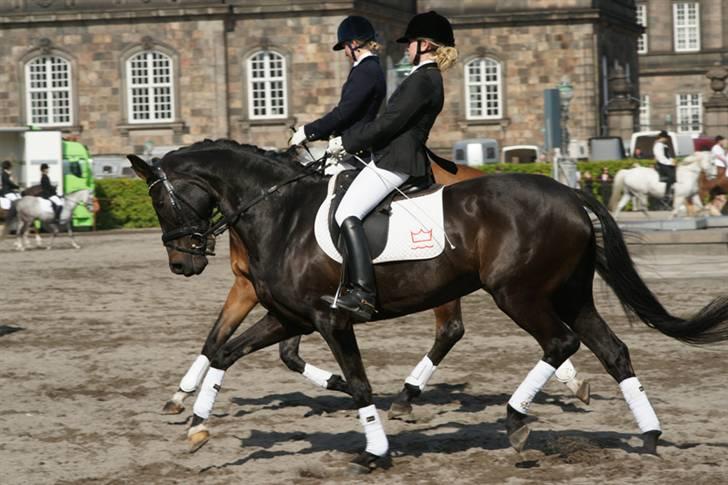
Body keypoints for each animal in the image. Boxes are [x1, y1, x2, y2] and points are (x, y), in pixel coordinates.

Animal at [162, 159, 588, 420]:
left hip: (482, 287)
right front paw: (180, 397)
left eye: (162, 202)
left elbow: (256, 347)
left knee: (453, 330)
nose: (182, 264)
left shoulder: (282, 300)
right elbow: (222, 341)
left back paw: (408, 396)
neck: (281, 211)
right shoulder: (260, 294)